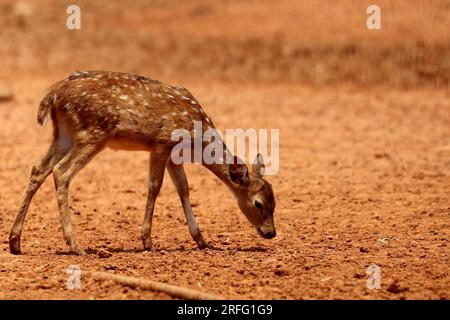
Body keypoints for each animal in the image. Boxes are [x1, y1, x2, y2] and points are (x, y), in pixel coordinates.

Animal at [10, 70, 276, 255]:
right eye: (259, 203)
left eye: (275, 201)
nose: (271, 232)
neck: (198, 140)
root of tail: (53, 94)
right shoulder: (161, 142)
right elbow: (155, 187)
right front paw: (147, 240)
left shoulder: (173, 155)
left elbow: (184, 189)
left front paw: (201, 240)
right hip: (93, 132)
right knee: (61, 171)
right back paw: (75, 245)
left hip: (64, 134)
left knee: (38, 168)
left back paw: (15, 242)